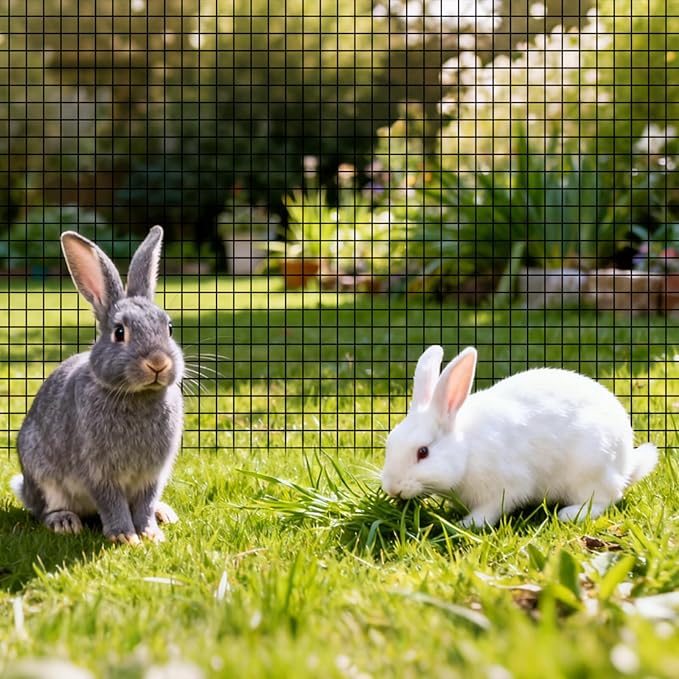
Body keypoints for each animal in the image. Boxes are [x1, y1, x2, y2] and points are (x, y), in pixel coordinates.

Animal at [11, 225, 184, 545]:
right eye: (119, 332)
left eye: (169, 328)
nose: (158, 362)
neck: (135, 395)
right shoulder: (99, 472)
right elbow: (112, 502)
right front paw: (125, 537)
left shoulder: (153, 475)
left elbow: (145, 502)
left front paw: (150, 533)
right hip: (41, 475)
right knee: (44, 509)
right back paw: (64, 521)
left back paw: (163, 513)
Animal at [381, 345, 658, 528]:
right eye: (390, 443)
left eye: (423, 452)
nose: (392, 488)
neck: (467, 450)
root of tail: (626, 464)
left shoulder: (507, 486)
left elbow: (493, 508)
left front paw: (468, 523)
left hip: (589, 470)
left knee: (607, 498)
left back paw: (570, 514)